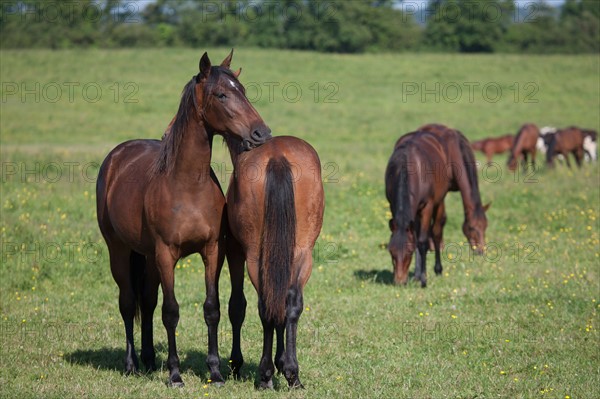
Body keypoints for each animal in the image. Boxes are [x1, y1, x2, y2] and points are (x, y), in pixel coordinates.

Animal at [95, 50, 270, 388]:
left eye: (243, 90)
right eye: (222, 94)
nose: (262, 133)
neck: (187, 185)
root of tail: (116, 157)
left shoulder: (212, 250)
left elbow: (211, 308)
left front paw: (215, 372)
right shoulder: (166, 254)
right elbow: (171, 312)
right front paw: (175, 374)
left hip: (147, 256)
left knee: (147, 301)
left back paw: (150, 361)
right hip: (119, 250)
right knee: (128, 303)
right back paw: (131, 364)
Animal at [225, 136, 326, 390]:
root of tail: (278, 157)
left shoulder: (238, 252)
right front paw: (283, 364)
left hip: (256, 257)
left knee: (266, 305)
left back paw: (266, 376)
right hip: (302, 254)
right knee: (290, 303)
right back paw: (291, 374)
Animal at [386, 131, 448, 288]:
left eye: (409, 252)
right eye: (391, 252)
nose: (399, 282)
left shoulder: (427, 206)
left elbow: (422, 242)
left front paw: (424, 280)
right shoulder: (392, 205)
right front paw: (418, 276)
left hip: (439, 202)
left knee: (436, 232)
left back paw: (437, 270)